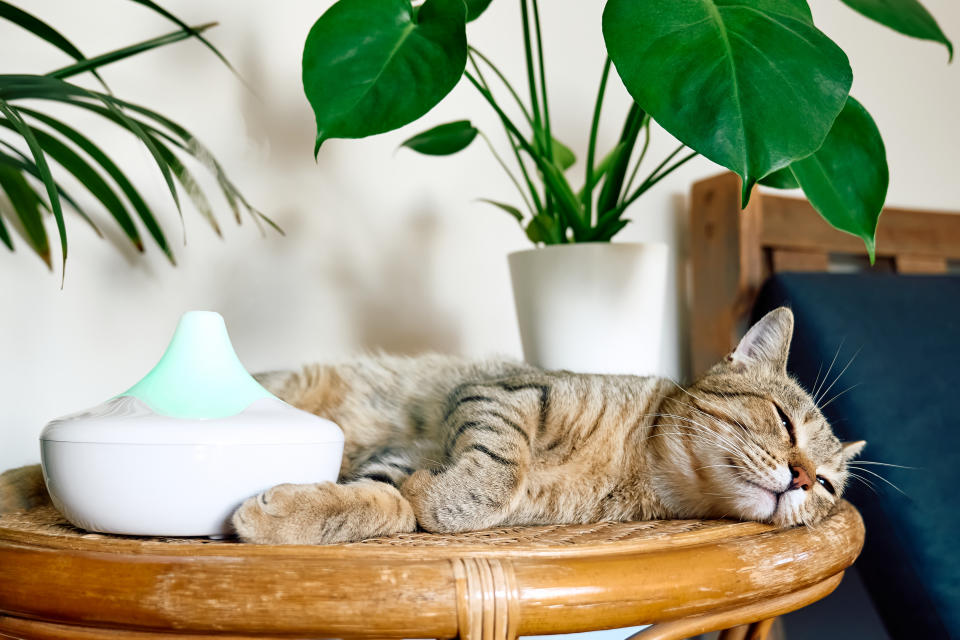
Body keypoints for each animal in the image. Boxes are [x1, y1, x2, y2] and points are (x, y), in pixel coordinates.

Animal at [231, 308, 864, 544]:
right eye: (784, 421)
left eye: (826, 484)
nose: (802, 478)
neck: (635, 464)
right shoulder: (502, 391)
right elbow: (495, 473)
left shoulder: (402, 459)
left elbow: (391, 504)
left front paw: (284, 514)